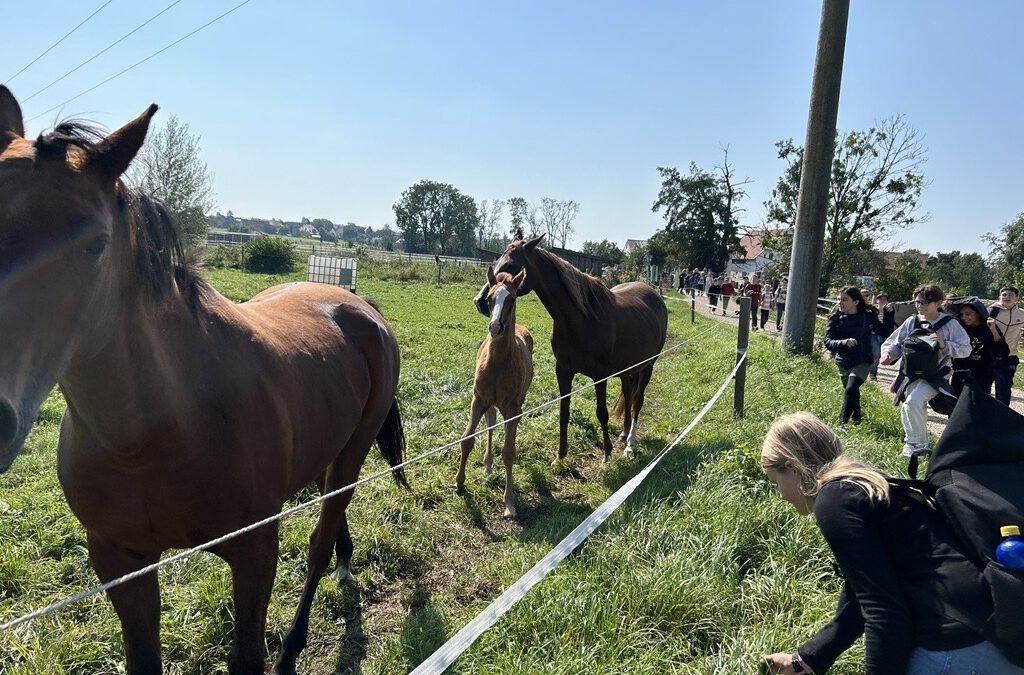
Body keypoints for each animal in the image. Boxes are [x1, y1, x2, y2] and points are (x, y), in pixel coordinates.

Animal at [0, 86, 407, 675]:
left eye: (95, 243)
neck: (159, 430)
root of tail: (359, 306)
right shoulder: (119, 561)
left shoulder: (255, 552)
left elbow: (248, 655)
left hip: (351, 455)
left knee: (320, 539)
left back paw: (295, 644)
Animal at [458, 266, 536, 520]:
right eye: (490, 298)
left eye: (512, 299)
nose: (495, 327)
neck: (498, 363)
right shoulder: (478, 399)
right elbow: (467, 439)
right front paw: (459, 483)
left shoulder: (512, 407)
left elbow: (509, 452)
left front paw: (509, 503)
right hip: (490, 403)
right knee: (491, 422)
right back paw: (488, 463)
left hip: (517, 404)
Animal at [473, 234, 667, 462]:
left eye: (511, 266)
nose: (480, 301)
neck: (581, 320)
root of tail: (654, 295)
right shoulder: (563, 371)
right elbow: (564, 412)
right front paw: (561, 455)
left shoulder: (599, 376)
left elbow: (602, 413)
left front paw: (607, 453)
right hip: (627, 370)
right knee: (628, 395)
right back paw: (624, 433)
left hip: (647, 366)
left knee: (637, 400)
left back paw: (630, 443)